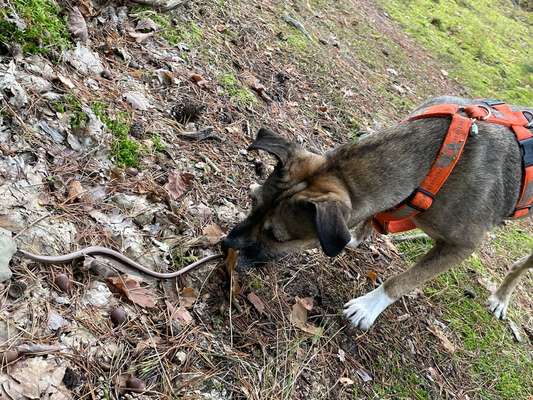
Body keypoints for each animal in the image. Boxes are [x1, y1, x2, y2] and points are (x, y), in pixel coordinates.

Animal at [221, 96, 532, 328]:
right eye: (253, 202)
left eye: (276, 237)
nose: (226, 244)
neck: (435, 164)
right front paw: (355, 238)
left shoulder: (461, 246)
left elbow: (405, 279)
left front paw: (369, 305)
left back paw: (501, 298)